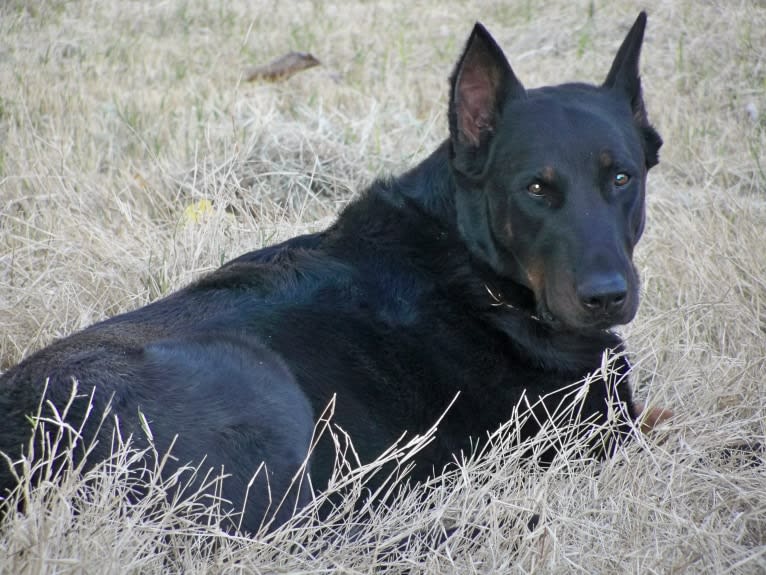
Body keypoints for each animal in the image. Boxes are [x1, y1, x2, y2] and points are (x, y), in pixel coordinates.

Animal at [0, 13, 660, 536]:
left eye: (621, 177)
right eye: (536, 189)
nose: (606, 296)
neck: (478, 269)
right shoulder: (596, 435)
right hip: (258, 391)